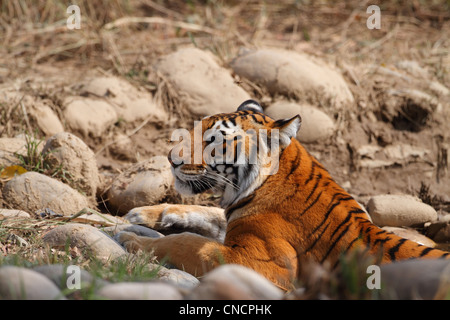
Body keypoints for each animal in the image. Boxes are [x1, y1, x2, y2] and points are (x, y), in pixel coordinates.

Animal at [119, 99, 450, 290]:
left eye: (213, 141)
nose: (170, 159)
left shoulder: (260, 263)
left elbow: (187, 243)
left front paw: (132, 240)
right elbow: (209, 216)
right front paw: (146, 214)